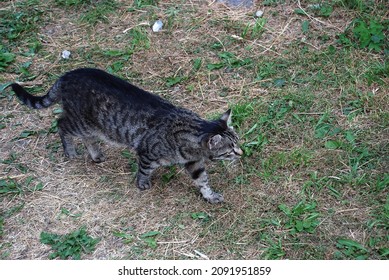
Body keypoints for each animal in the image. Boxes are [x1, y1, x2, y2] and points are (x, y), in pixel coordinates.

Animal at [9, 68, 241, 203]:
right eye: (229, 150)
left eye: (237, 142)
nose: (241, 153)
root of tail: (68, 74)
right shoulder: (147, 153)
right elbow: (144, 170)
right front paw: (142, 184)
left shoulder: (194, 163)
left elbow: (203, 181)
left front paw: (210, 195)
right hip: (80, 122)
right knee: (61, 124)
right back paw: (70, 150)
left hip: (93, 127)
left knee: (87, 138)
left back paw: (96, 155)